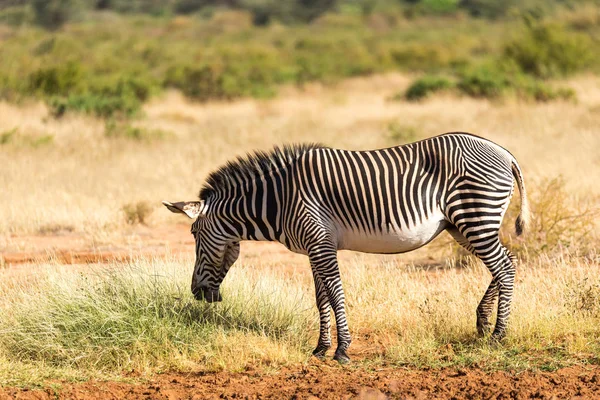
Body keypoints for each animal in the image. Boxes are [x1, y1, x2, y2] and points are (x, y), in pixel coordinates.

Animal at [162, 133, 528, 364]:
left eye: (194, 234)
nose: (197, 293)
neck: (280, 200)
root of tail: (504, 152)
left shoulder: (322, 243)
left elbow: (336, 294)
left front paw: (342, 350)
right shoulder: (314, 248)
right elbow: (320, 297)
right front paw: (320, 348)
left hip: (474, 216)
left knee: (505, 268)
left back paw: (498, 335)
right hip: (461, 225)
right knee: (505, 264)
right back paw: (482, 322)